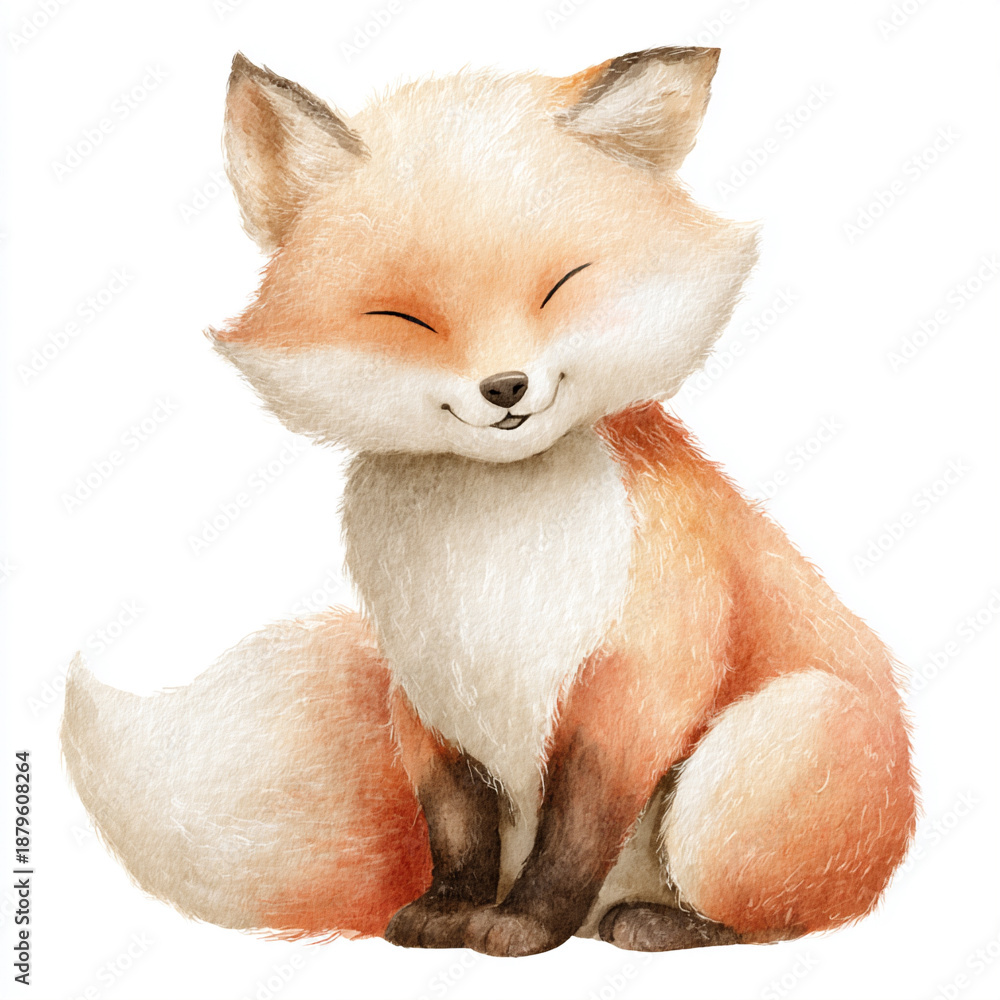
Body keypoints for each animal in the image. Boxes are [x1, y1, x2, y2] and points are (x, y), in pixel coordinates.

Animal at [61, 47, 918, 956]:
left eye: (562, 285)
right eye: (406, 317)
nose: (505, 387)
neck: (493, 552)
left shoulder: (639, 677)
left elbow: (575, 831)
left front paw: (527, 925)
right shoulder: (424, 692)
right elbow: (458, 827)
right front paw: (449, 911)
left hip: (756, 760)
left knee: (781, 919)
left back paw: (651, 923)